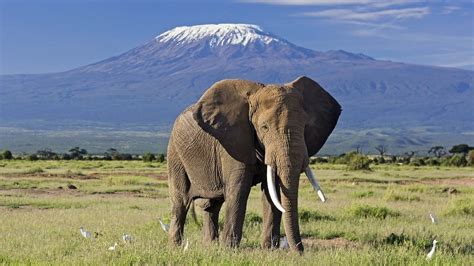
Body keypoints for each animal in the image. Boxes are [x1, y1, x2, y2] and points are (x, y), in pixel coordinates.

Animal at [167, 75, 340, 251]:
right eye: (264, 127)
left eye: (305, 126)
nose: (300, 252)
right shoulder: (233, 143)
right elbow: (239, 191)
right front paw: (229, 250)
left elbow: (272, 193)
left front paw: (269, 250)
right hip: (175, 154)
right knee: (181, 201)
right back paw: (176, 247)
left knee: (212, 205)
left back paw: (210, 246)